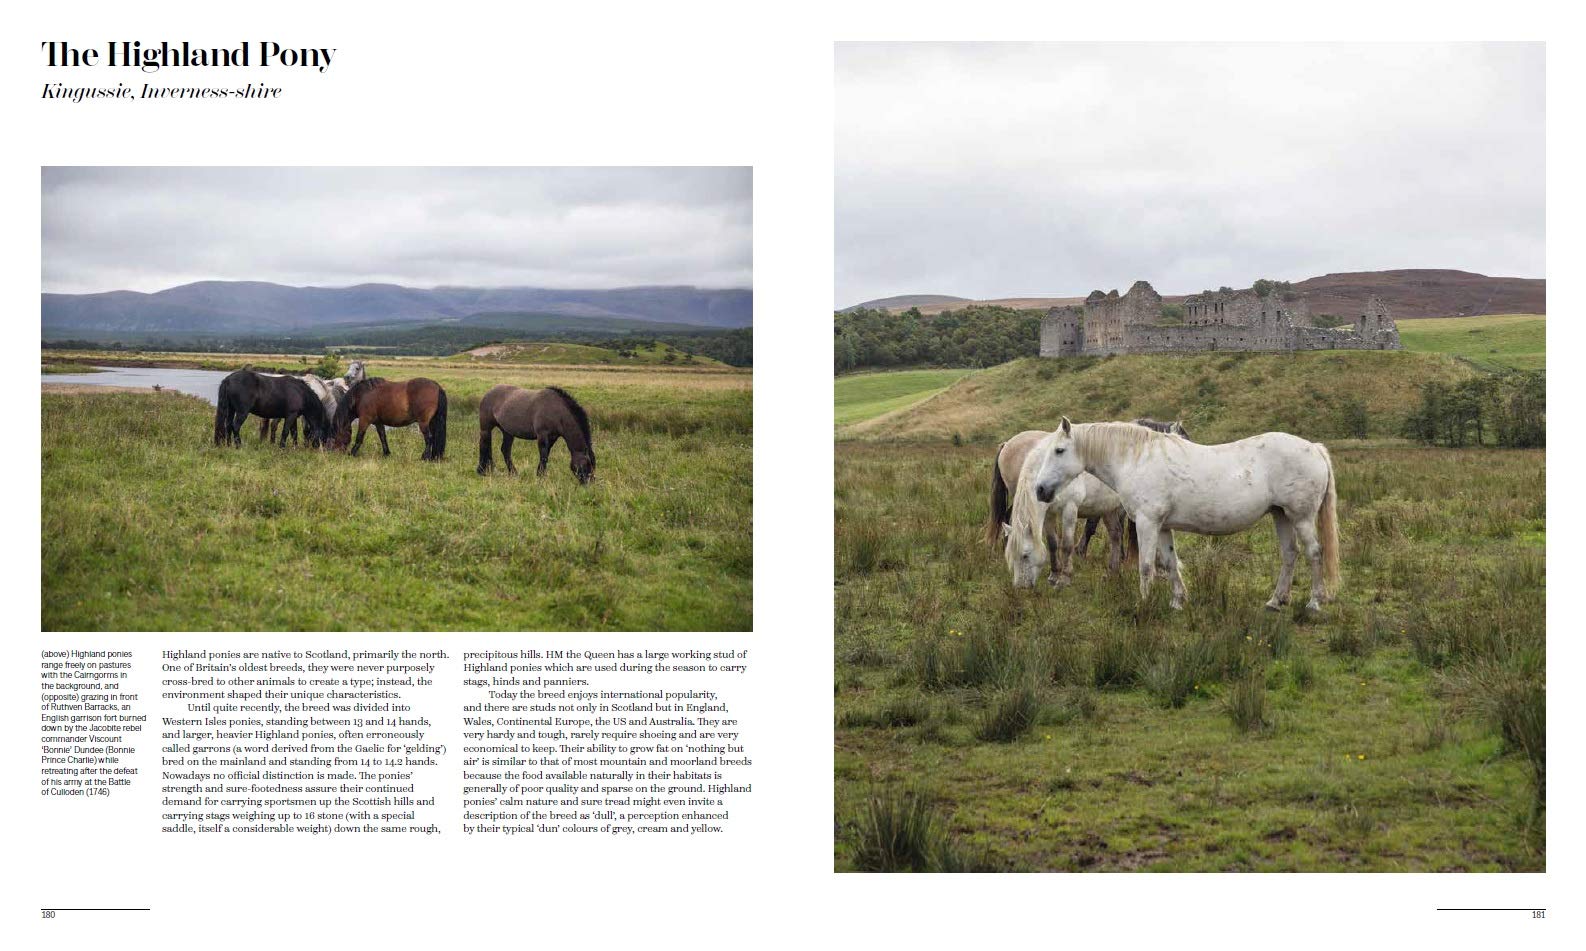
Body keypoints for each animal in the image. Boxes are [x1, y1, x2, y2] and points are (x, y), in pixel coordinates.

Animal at [983, 427, 1135, 586]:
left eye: (1025, 555)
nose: (1021, 586)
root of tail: (1007, 444)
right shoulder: (1048, 513)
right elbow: (1053, 543)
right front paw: (1054, 575)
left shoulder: (1070, 509)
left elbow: (1067, 544)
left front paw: (1065, 578)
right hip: (1108, 509)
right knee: (1116, 534)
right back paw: (1113, 572)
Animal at [1027, 418, 1338, 611]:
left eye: (1059, 450)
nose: (1040, 489)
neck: (1137, 458)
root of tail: (1314, 448)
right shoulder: (1163, 526)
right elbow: (1170, 561)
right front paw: (1177, 601)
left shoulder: (1147, 523)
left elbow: (1146, 566)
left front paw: (1143, 604)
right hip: (1281, 515)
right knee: (1290, 554)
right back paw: (1276, 601)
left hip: (1301, 517)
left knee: (1314, 553)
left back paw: (1314, 602)